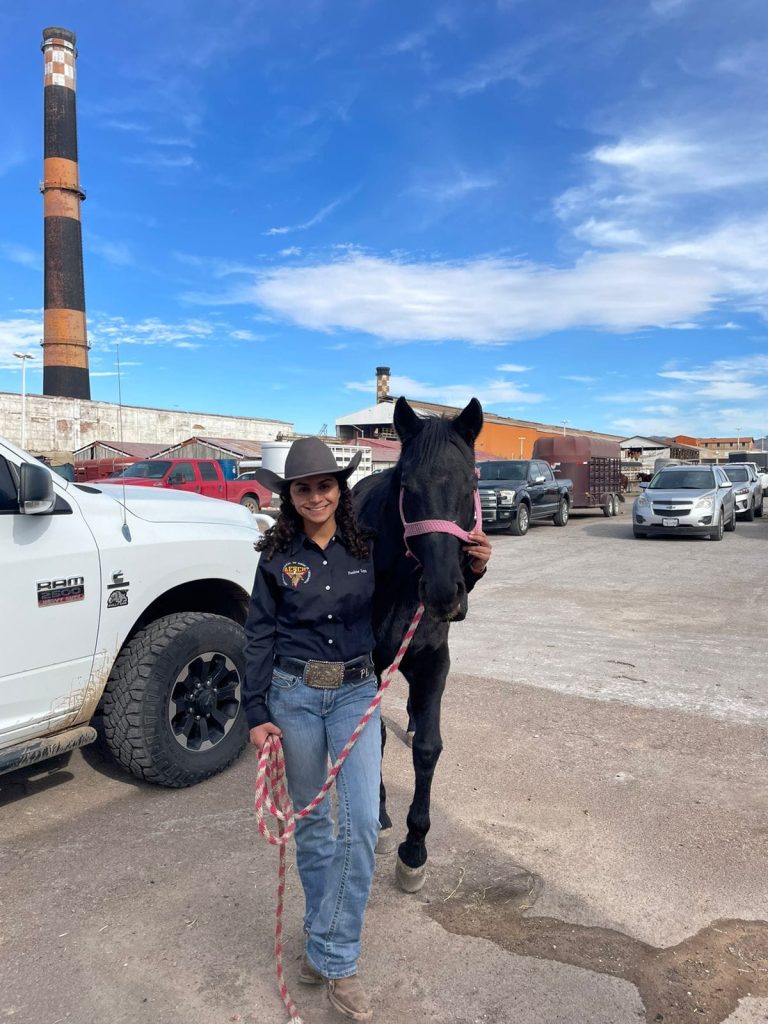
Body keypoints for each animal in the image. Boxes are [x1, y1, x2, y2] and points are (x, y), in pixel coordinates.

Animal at [354, 395, 483, 892]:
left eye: (472, 483)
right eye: (407, 485)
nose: (446, 593)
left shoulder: (433, 661)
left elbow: (428, 748)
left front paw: (415, 848)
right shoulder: (366, 666)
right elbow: (372, 740)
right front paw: (383, 817)